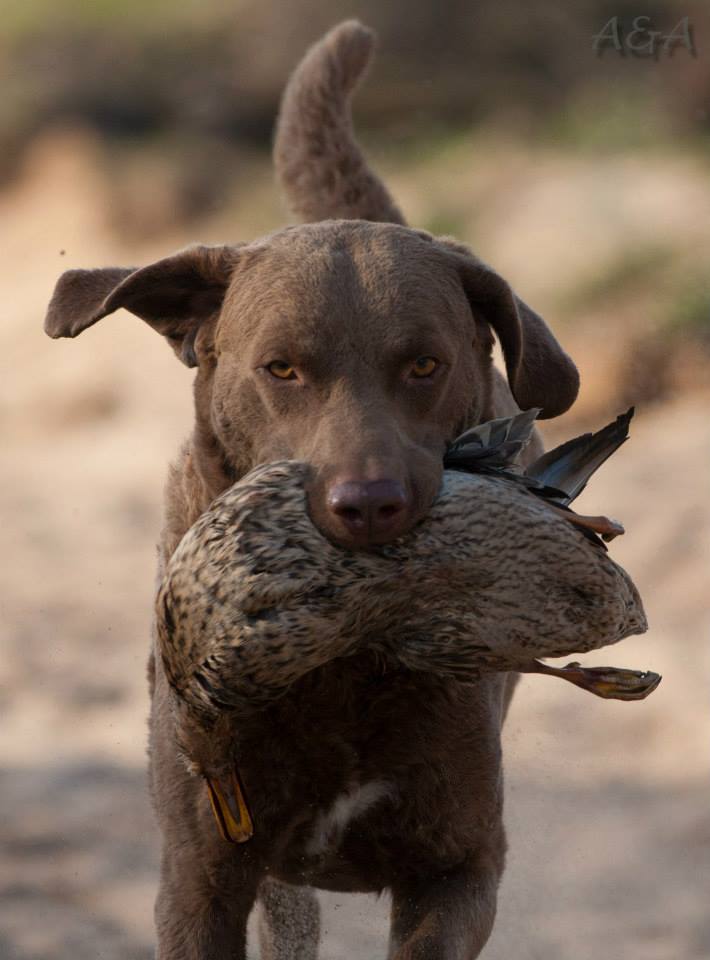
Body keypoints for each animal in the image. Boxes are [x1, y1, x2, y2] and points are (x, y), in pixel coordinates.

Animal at [43, 20, 580, 960]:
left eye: (426, 365)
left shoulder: (461, 866)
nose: (367, 505)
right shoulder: (201, 878)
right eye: (281, 368)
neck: (346, 657)